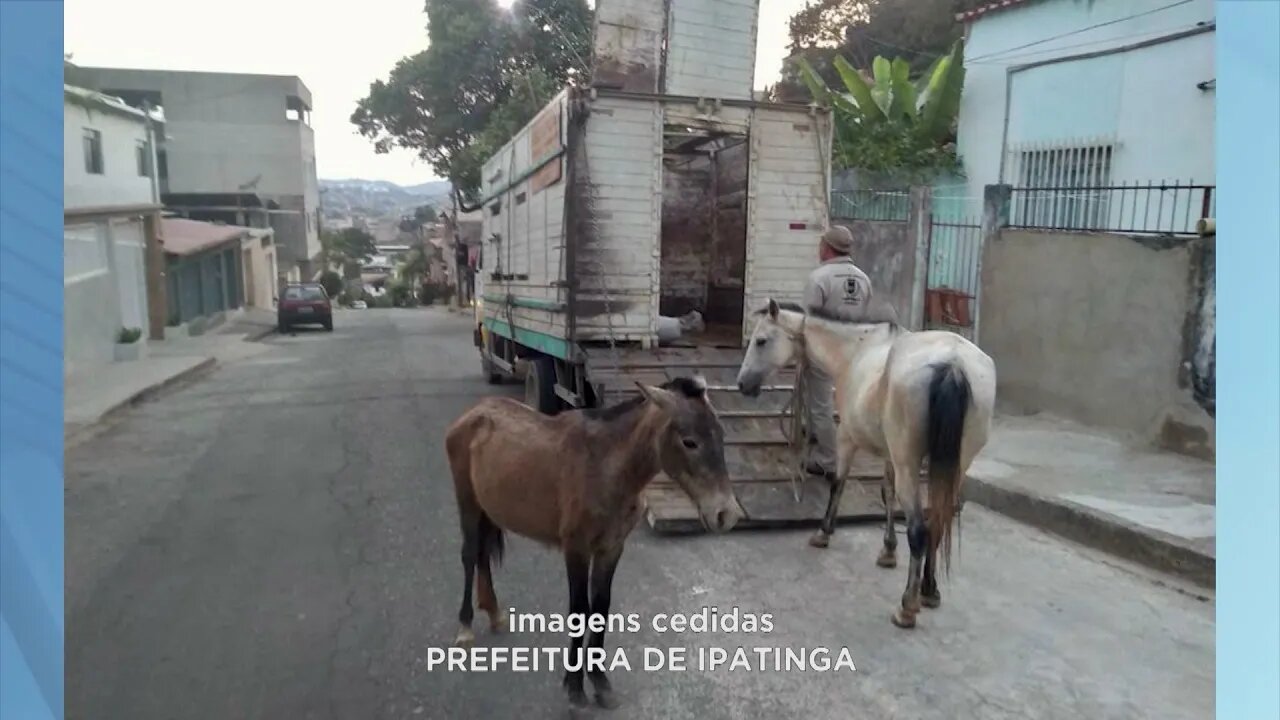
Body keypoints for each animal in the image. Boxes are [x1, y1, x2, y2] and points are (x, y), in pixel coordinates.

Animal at [445, 376, 747, 707]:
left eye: (721, 434)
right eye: (689, 441)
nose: (726, 514)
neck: (606, 467)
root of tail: (473, 414)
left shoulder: (611, 547)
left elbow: (601, 607)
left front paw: (600, 681)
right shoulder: (576, 548)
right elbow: (580, 610)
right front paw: (575, 688)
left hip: (487, 508)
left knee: (482, 554)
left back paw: (496, 614)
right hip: (467, 500)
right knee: (470, 554)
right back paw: (465, 627)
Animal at [737, 295, 993, 622]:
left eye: (761, 341)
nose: (743, 384)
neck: (856, 350)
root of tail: (953, 364)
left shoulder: (847, 438)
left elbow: (838, 483)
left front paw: (823, 533)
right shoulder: (889, 456)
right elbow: (886, 493)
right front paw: (888, 550)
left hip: (910, 465)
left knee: (919, 530)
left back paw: (907, 607)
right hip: (955, 468)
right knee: (938, 521)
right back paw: (929, 590)